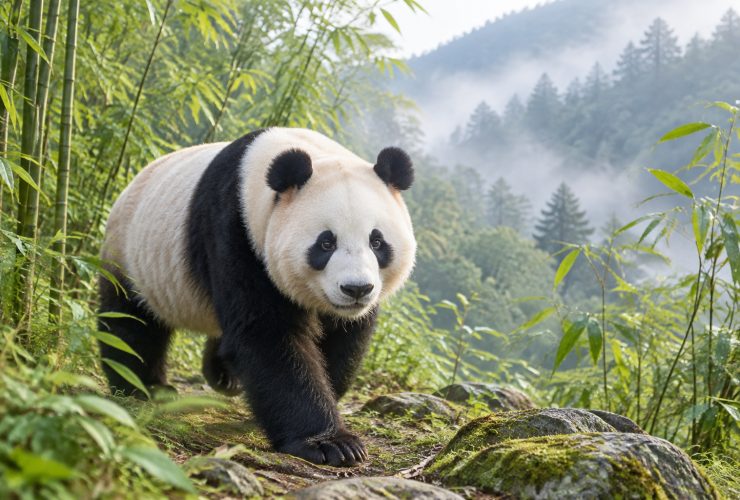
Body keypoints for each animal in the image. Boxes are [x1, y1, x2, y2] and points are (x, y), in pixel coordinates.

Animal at [98, 128, 416, 467]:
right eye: (326, 243)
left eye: (377, 242)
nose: (356, 289)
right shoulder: (235, 232)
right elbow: (267, 335)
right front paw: (330, 443)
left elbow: (343, 339)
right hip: (130, 258)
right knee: (131, 324)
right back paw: (143, 387)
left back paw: (222, 375)